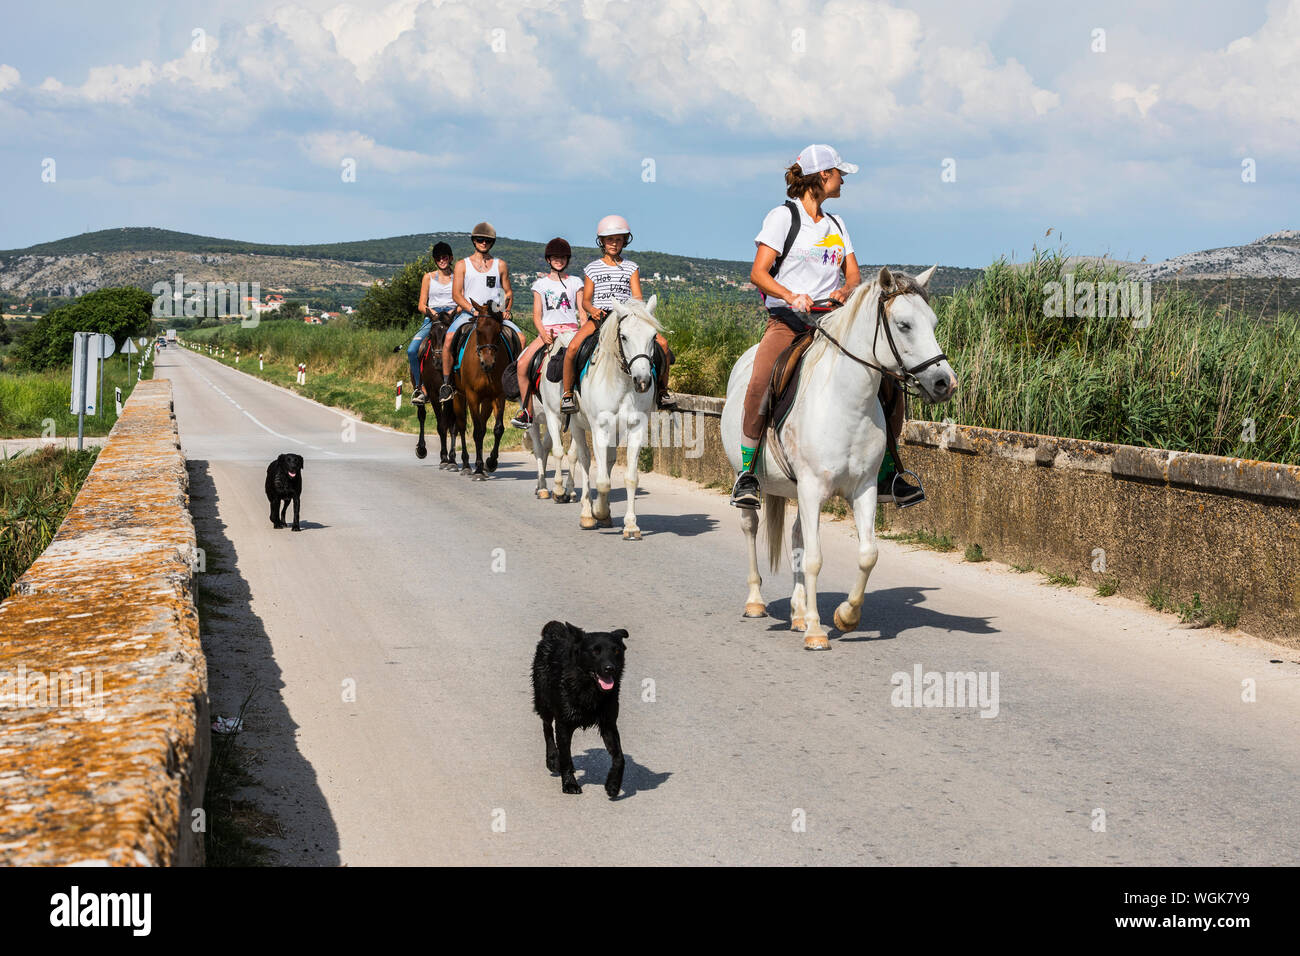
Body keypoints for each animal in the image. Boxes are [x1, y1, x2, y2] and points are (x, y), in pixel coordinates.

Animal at [449, 299, 520, 478]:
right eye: (479, 331)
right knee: (461, 426)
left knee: (481, 425)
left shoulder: (499, 396)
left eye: (499, 331)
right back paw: (466, 465)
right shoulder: (472, 396)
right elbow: (475, 431)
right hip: (459, 396)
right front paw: (479, 470)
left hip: (487, 400)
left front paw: (490, 462)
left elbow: (497, 429)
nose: (487, 363)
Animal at [527, 329, 579, 504]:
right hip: (535, 421)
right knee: (538, 449)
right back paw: (543, 488)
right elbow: (558, 451)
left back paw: (539, 486)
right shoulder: (553, 417)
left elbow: (573, 455)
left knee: (544, 447)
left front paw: (570, 491)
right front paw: (558, 490)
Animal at [530, 621, 626, 801]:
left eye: (616, 651)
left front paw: (613, 785)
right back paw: (552, 759)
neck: (589, 688)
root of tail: (556, 631)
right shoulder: (564, 724)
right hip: (544, 702)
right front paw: (569, 784)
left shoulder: (609, 724)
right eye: (595, 651)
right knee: (547, 728)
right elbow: (566, 757)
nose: (610, 668)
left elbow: (619, 757)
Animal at [572, 295, 665, 541]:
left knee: (608, 460)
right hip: (576, 424)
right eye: (624, 336)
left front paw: (631, 526)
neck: (622, 383)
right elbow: (602, 480)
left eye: (653, 336)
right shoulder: (599, 428)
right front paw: (598, 512)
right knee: (584, 460)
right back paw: (587, 514)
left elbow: (630, 477)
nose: (642, 382)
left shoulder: (636, 428)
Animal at [722, 267, 956, 650]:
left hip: (798, 491)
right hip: (752, 479)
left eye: (934, 322)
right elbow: (816, 559)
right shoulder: (813, 488)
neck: (846, 403)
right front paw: (817, 632)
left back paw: (798, 613)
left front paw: (845, 616)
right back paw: (756, 602)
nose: (945, 383)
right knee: (750, 526)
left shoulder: (862, 489)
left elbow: (867, 553)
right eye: (904, 324)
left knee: (797, 538)